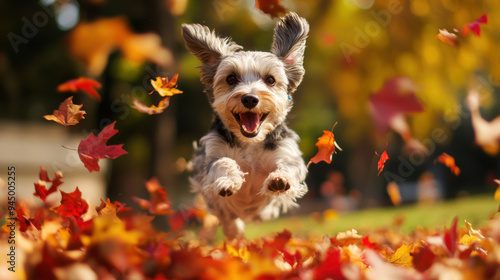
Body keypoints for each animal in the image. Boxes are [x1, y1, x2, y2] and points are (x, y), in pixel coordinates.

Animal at [184, 11, 308, 238]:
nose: (250, 98)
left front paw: (279, 179)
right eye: (231, 79)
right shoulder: (212, 154)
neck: (250, 142)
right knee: (229, 219)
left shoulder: (286, 150)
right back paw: (235, 230)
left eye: (270, 80)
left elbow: (289, 166)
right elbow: (222, 162)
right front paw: (227, 181)